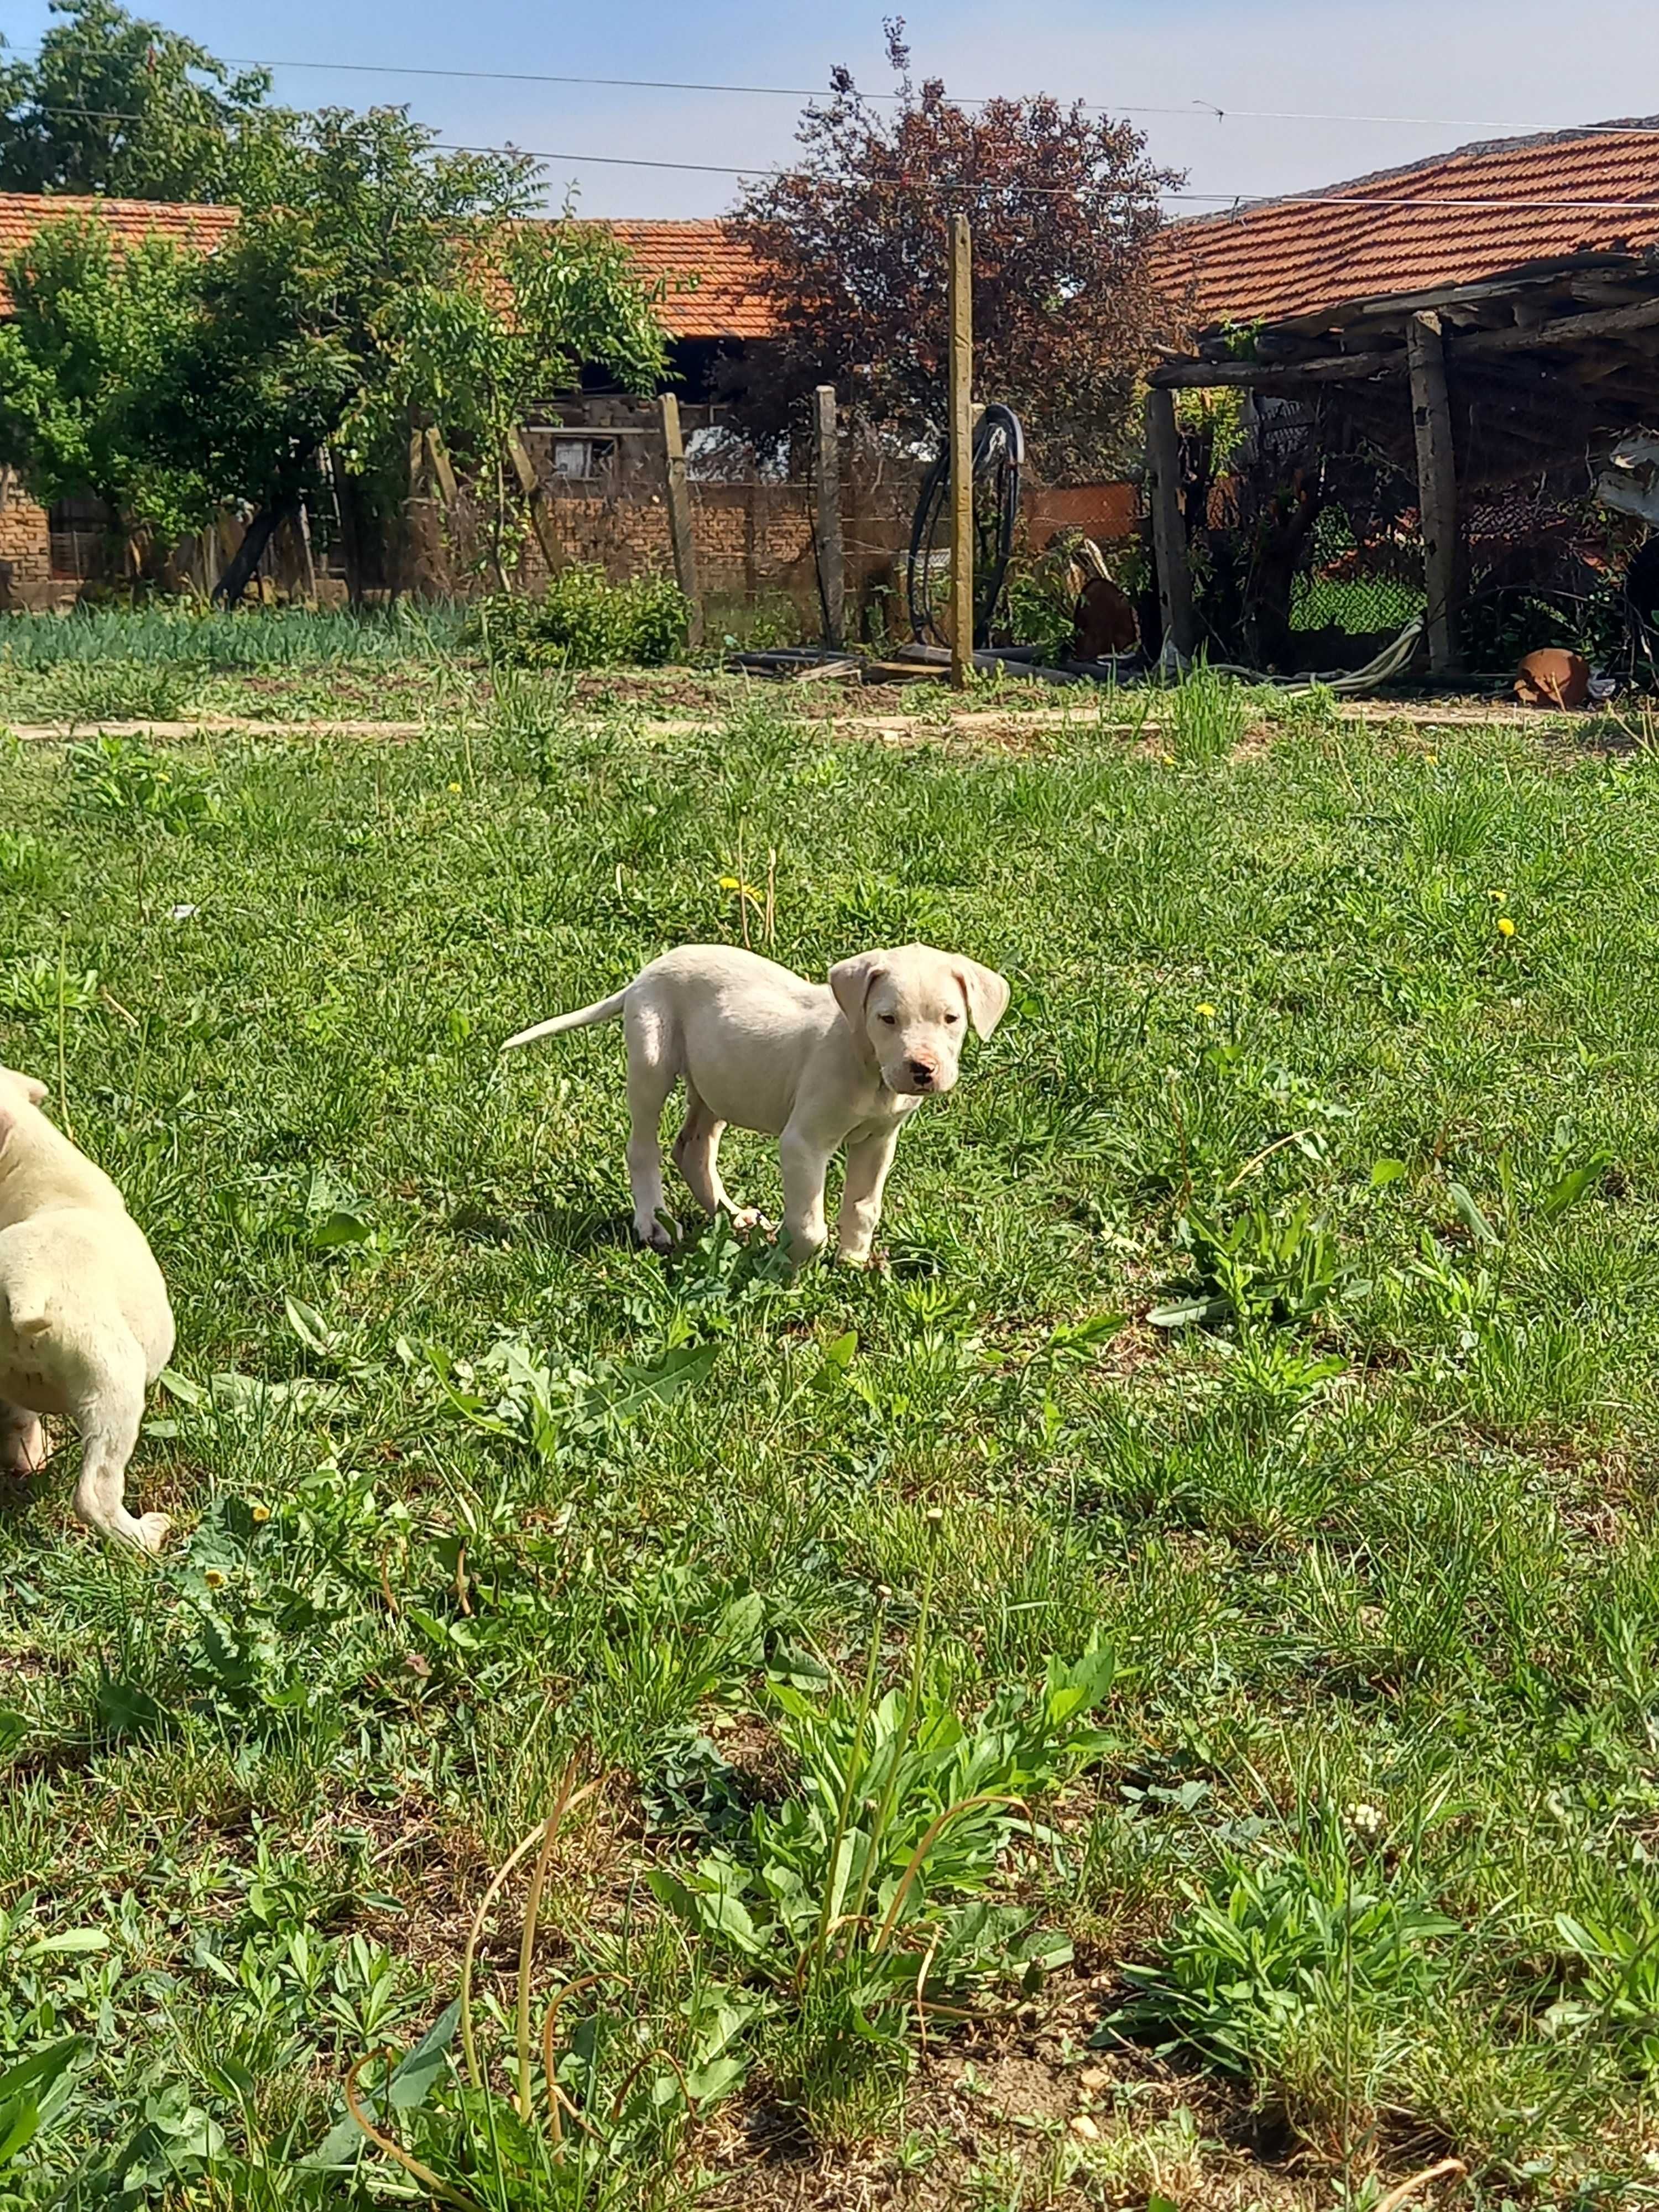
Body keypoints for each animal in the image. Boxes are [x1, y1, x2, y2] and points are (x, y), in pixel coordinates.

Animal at [500, 942, 1013, 1274]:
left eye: (951, 1018)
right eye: (887, 1019)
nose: (922, 1069)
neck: (867, 1065)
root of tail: (645, 974)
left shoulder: (878, 1140)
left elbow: (864, 1206)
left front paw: (852, 1261)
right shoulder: (804, 1144)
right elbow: (809, 1225)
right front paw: (789, 1262)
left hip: (717, 1084)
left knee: (693, 1149)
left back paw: (734, 1217)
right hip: (651, 1062)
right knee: (643, 1148)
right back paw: (654, 1224)